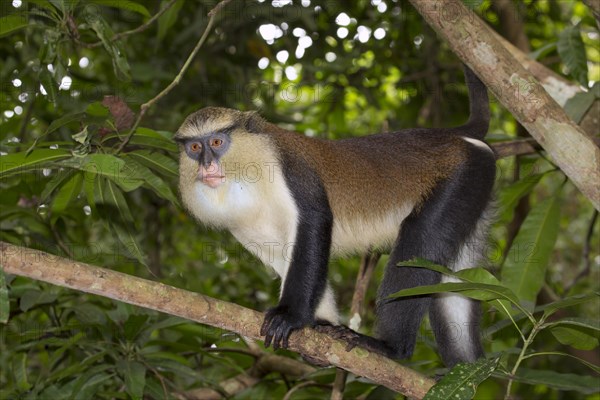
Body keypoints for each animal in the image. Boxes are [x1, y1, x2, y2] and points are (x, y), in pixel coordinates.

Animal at [175, 66, 496, 368]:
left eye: (217, 143)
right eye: (195, 147)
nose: (206, 165)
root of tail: (450, 136)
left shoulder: (289, 170)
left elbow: (314, 223)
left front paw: (289, 317)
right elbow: (282, 257)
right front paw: (319, 327)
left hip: (461, 177)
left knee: (420, 238)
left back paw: (390, 346)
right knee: (453, 281)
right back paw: (469, 371)